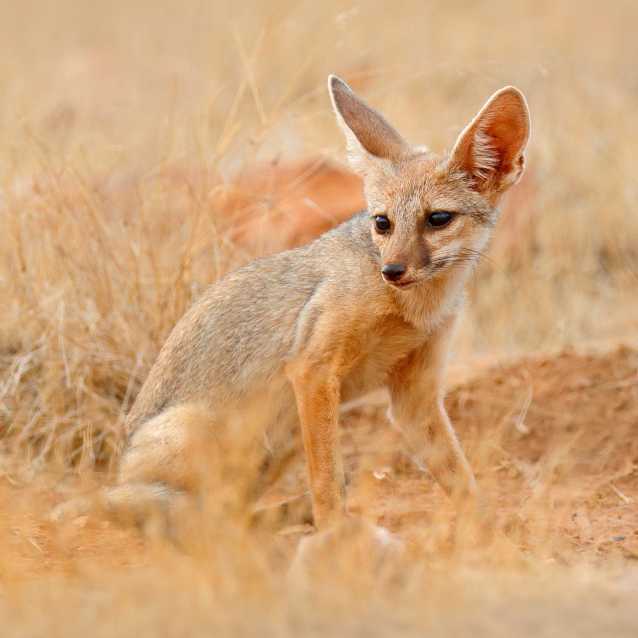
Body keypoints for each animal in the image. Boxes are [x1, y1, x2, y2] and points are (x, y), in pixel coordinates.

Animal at [52, 76, 528, 536]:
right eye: (382, 222)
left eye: (438, 219)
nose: (392, 269)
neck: (413, 308)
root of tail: (120, 471)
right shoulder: (312, 370)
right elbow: (327, 478)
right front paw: (335, 534)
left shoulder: (415, 396)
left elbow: (460, 476)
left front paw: (490, 533)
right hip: (216, 432)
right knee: (199, 514)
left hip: (279, 442)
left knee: (232, 511)